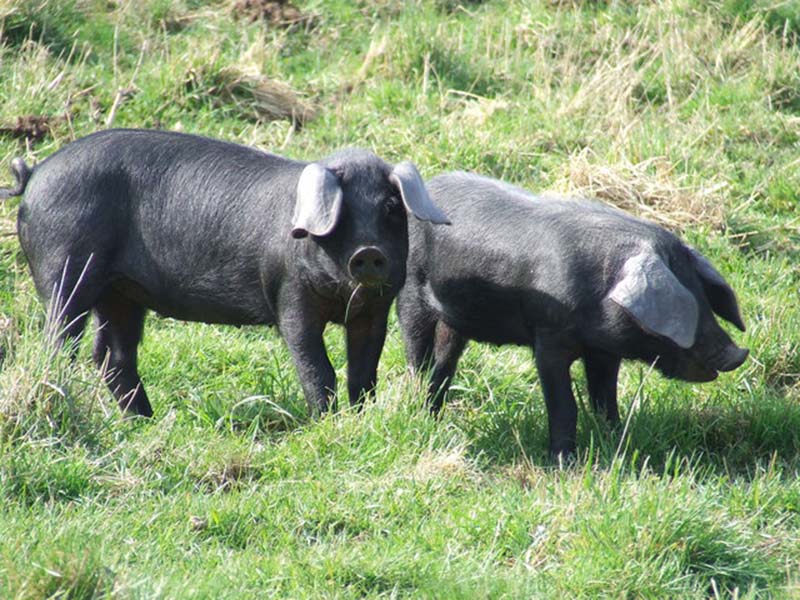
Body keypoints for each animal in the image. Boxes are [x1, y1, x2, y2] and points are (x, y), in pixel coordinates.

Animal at [0, 126, 450, 418]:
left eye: (391, 208)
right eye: (340, 215)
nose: (368, 252)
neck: (342, 297)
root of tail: (35, 174)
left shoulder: (375, 311)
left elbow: (363, 371)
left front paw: (359, 418)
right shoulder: (289, 296)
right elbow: (315, 366)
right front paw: (328, 421)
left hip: (122, 293)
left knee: (113, 356)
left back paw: (147, 422)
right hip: (65, 269)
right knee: (61, 341)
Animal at [400, 171, 752, 458]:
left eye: (704, 297)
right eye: (685, 308)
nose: (737, 354)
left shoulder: (605, 351)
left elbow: (605, 397)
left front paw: (615, 441)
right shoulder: (548, 338)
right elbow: (564, 404)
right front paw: (564, 462)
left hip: (455, 320)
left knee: (446, 360)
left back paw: (434, 414)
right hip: (410, 289)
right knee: (418, 353)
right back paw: (418, 410)